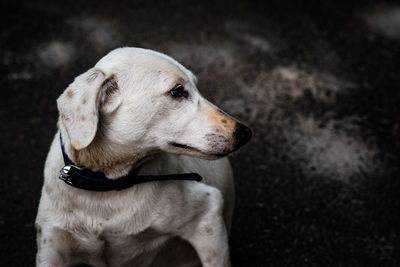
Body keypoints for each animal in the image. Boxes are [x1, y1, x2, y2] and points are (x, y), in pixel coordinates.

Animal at [36, 47, 252, 266]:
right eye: (177, 91)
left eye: (196, 87)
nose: (245, 133)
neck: (107, 187)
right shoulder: (51, 246)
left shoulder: (208, 214)